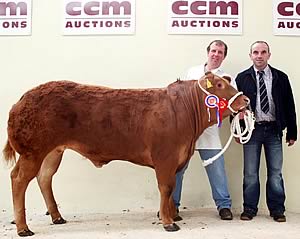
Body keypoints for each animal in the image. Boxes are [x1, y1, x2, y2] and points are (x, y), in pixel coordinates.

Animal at [3, 72, 250, 236]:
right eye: (219, 84)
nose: (246, 100)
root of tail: (21, 100)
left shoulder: (177, 158)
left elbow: (172, 189)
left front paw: (173, 214)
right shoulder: (166, 157)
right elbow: (166, 187)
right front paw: (168, 221)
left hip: (53, 152)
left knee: (44, 178)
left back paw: (57, 217)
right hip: (32, 152)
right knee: (18, 179)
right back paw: (23, 227)